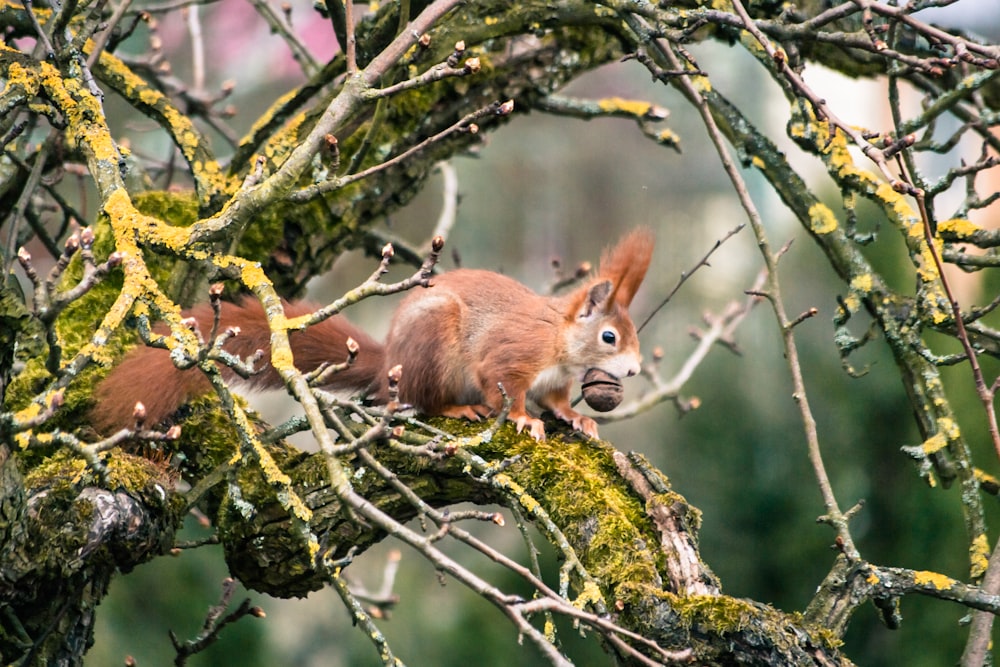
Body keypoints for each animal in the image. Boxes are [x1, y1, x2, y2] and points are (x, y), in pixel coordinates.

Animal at [92, 230, 656, 444]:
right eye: (609, 336)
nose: (632, 370)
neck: (559, 343)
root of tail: (390, 364)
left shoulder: (557, 379)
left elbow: (558, 400)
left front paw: (577, 418)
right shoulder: (513, 357)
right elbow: (507, 388)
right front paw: (523, 419)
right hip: (433, 348)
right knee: (420, 400)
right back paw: (457, 408)